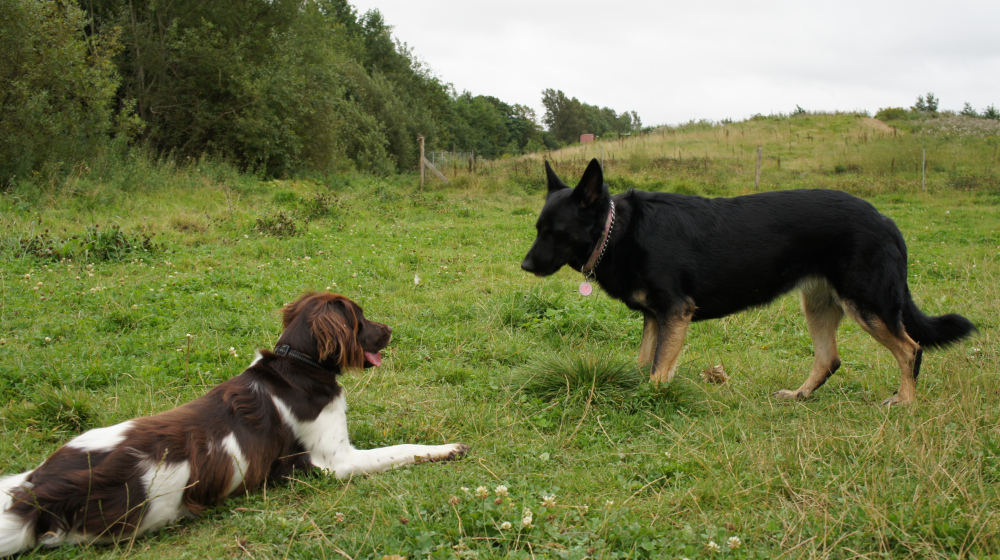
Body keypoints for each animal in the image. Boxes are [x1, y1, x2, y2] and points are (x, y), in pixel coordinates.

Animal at [0, 294, 468, 556]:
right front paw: (447, 448)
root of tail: (37, 494)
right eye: (360, 318)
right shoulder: (334, 462)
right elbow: (400, 450)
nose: (389, 330)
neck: (299, 366)